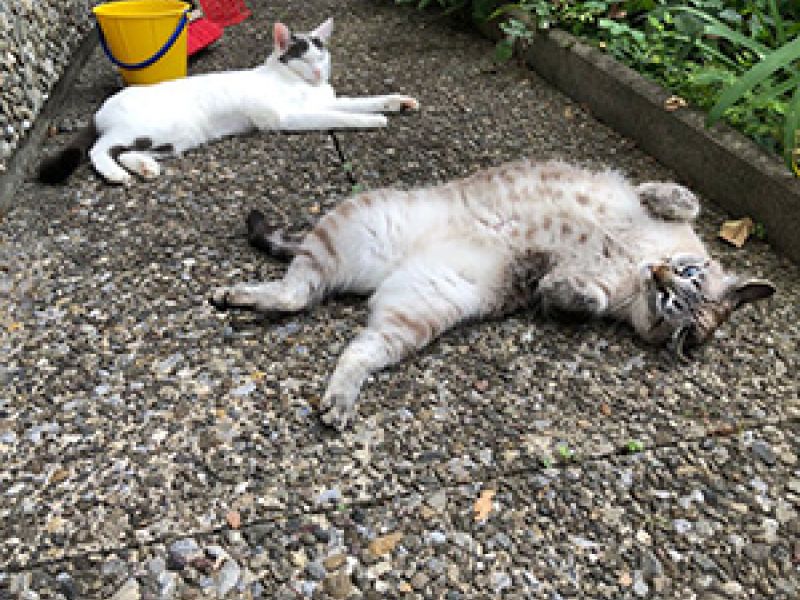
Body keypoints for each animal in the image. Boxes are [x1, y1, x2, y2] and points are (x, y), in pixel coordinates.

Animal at [37, 17, 419, 186]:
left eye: (321, 58)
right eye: (303, 59)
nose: (317, 73)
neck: (306, 87)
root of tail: (104, 106)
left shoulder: (325, 100)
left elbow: (358, 102)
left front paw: (397, 102)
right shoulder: (287, 116)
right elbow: (340, 117)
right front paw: (372, 122)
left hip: (176, 136)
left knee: (127, 150)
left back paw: (143, 167)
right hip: (153, 126)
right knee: (99, 148)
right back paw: (116, 174)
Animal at [209, 159, 775, 430]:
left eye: (671, 305)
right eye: (684, 277)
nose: (658, 277)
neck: (632, 267)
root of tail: (387, 272)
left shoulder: (585, 294)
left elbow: (580, 298)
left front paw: (560, 285)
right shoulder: (650, 210)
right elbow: (683, 199)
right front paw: (667, 197)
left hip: (418, 313)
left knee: (341, 336)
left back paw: (337, 399)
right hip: (354, 231)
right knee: (299, 288)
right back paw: (237, 296)